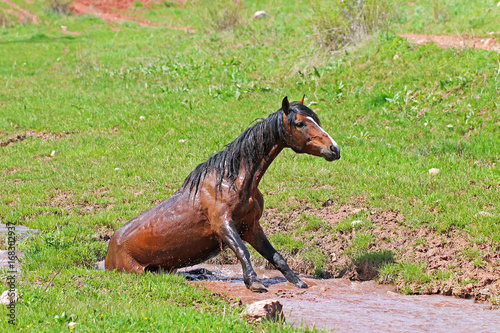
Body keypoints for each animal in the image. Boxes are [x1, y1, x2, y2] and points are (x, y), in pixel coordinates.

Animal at [105, 95, 340, 290]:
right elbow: (242, 251)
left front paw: (298, 282)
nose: (334, 149)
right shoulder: (223, 225)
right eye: (300, 123)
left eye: (316, 120)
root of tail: (109, 253)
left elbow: (276, 256)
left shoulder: (251, 227)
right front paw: (254, 283)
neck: (233, 181)